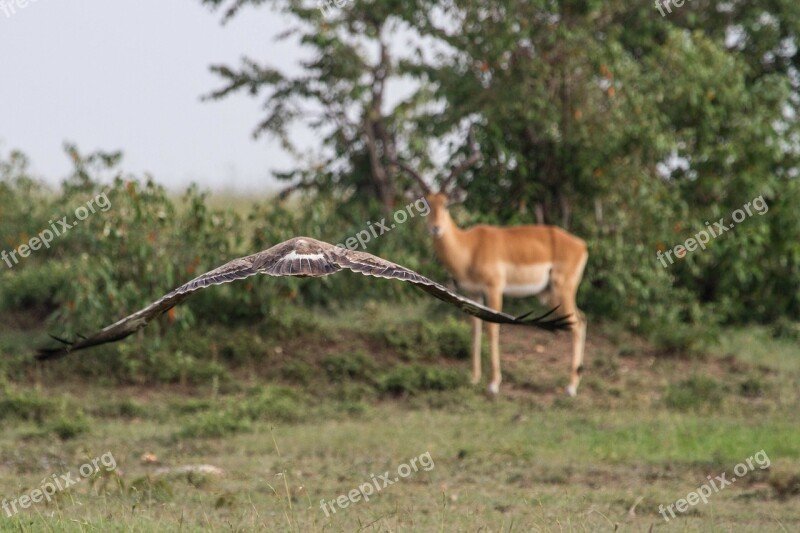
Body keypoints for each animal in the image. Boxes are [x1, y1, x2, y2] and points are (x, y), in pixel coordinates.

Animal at [394, 137, 588, 394]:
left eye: (446, 204)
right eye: (425, 204)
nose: (436, 228)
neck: (469, 247)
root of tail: (581, 245)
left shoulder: (494, 288)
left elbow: (492, 327)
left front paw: (494, 383)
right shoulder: (473, 292)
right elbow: (475, 326)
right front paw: (474, 378)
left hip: (562, 289)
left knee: (576, 324)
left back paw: (570, 387)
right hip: (551, 294)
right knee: (582, 320)